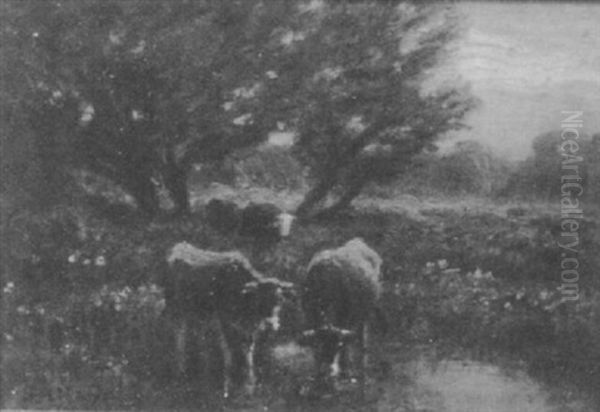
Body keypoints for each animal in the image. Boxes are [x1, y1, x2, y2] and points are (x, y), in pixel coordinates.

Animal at [164, 241, 296, 400]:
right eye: (259, 299)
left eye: (280, 299)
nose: (272, 324)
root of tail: (179, 246)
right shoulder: (224, 322)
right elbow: (229, 353)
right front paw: (227, 386)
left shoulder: (248, 328)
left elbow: (248, 353)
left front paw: (250, 387)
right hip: (176, 309)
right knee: (179, 335)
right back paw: (180, 371)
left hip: (199, 314)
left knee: (199, 337)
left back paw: (204, 370)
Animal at [300, 240, 384, 394]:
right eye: (320, 345)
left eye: (337, 346)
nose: (328, 373)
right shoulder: (310, 317)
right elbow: (315, 352)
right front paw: (316, 377)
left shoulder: (346, 319)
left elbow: (346, 347)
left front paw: (345, 373)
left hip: (365, 313)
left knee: (362, 340)